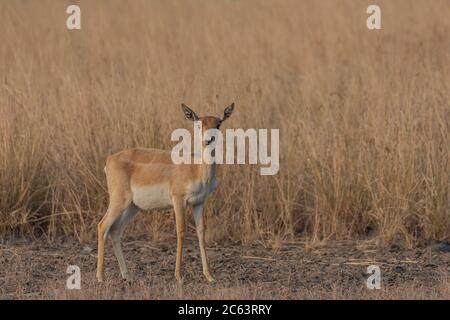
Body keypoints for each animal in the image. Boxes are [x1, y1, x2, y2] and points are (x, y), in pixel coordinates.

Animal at [96, 102, 236, 282]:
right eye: (199, 124)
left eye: (218, 124)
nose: (208, 140)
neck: (196, 168)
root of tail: (110, 159)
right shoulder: (178, 200)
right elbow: (181, 231)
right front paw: (179, 276)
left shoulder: (198, 203)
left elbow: (201, 232)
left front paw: (210, 276)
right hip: (119, 201)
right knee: (102, 226)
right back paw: (100, 277)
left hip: (133, 207)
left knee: (115, 231)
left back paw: (127, 275)